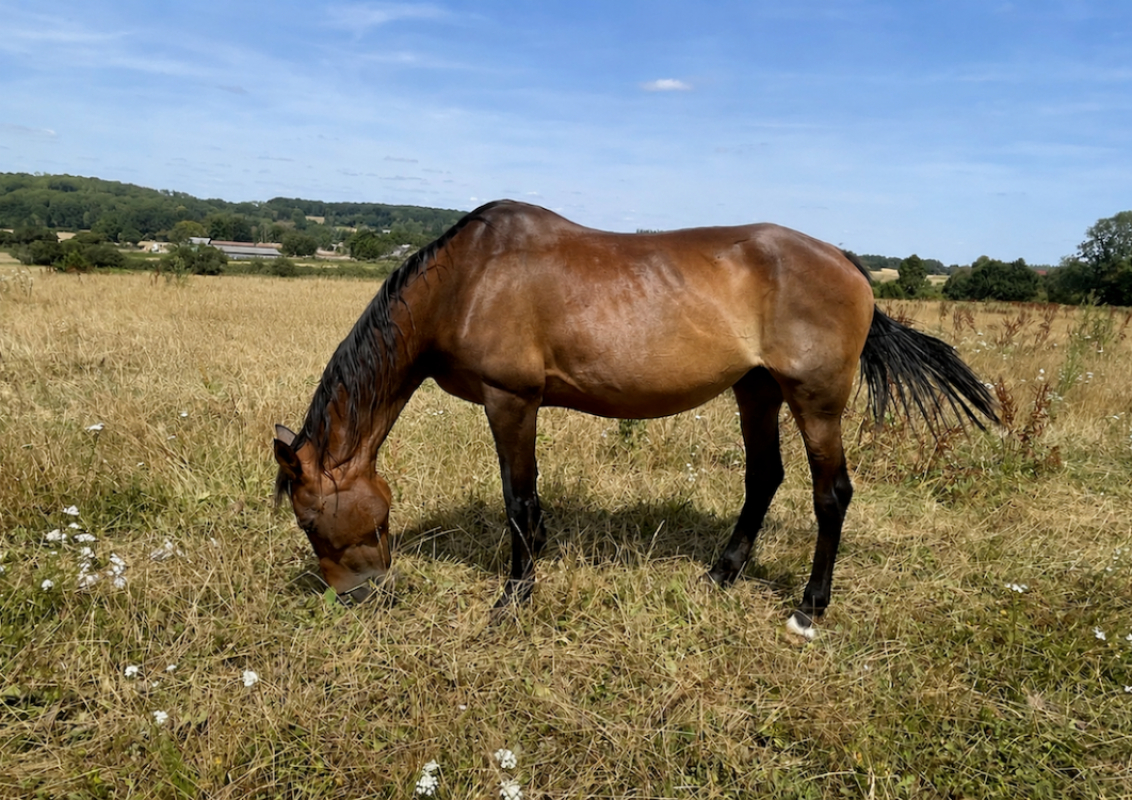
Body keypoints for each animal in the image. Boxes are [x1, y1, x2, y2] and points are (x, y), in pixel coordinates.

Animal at [274, 200, 997, 638]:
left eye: (308, 521)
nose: (357, 597)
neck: (469, 279)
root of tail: (847, 261)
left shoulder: (511, 400)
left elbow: (519, 501)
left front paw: (514, 597)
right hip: (757, 390)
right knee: (764, 478)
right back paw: (721, 574)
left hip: (814, 399)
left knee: (832, 493)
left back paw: (808, 608)